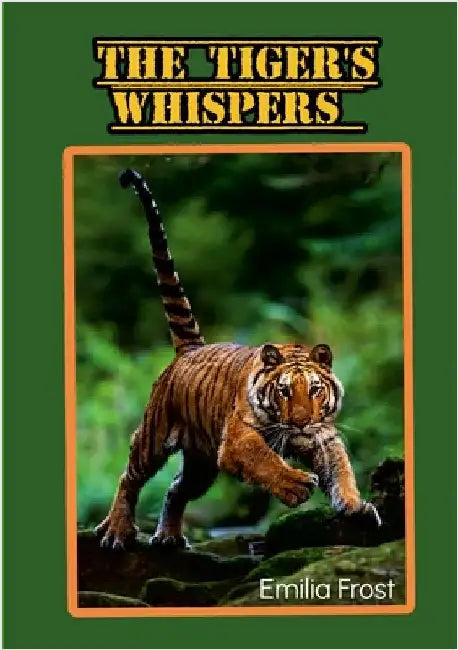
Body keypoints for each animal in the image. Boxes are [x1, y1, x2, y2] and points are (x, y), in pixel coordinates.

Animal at [94, 168, 381, 551]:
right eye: (284, 391)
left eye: (316, 389)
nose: (301, 422)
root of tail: (191, 349)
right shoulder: (237, 438)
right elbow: (263, 458)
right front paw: (297, 486)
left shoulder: (322, 436)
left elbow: (342, 470)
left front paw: (356, 507)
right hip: (153, 438)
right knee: (130, 477)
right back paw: (116, 531)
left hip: (201, 464)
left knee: (175, 490)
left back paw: (168, 537)